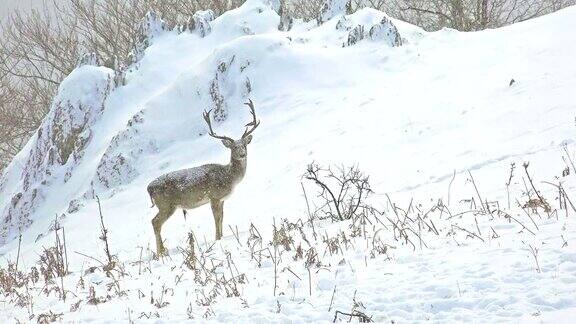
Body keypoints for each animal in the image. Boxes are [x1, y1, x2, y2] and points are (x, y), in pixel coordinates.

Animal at [147, 100, 260, 254]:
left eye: (244, 145)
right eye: (234, 147)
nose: (243, 154)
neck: (229, 177)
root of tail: (149, 188)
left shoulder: (222, 199)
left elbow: (222, 217)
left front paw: (222, 236)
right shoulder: (214, 196)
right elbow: (216, 218)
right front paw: (217, 239)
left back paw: (162, 251)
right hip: (166, 204)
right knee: (155, 222)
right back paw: (160, 253)